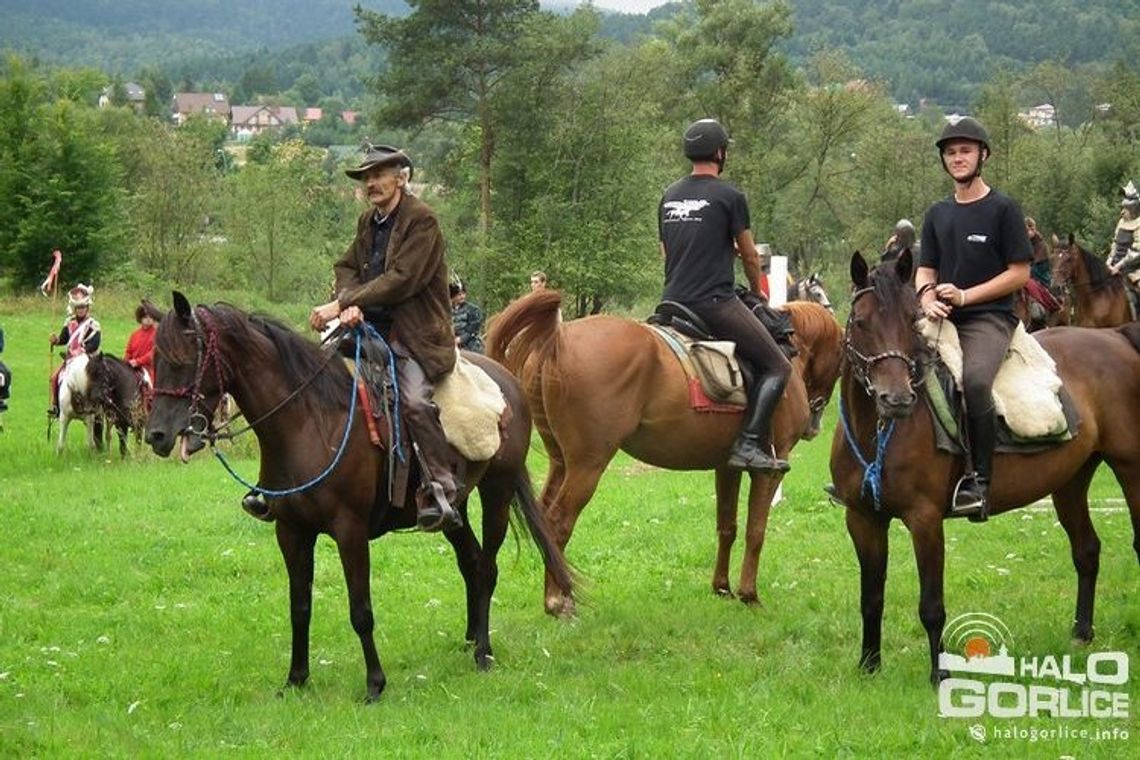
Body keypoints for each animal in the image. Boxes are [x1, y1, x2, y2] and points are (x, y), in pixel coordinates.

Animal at [147, 291, 574, 701]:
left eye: (184, 359)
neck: (310, 421)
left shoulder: (349, 530)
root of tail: (508, 380)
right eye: (155, 360)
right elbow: (299, 606)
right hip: (455, 507)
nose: (156, 435)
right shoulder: (291, 531)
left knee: (486, 568)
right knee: (470, 562)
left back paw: (483, 652)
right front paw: (296, 679)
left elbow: (361, 610)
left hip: (497, 490)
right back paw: (470, 639)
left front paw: (374, 684)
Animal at [485, 291, 843, 619]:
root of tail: (557, 337)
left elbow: (727, 526)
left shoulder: (727, 467)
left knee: (544, 519)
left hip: (561, 461)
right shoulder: (769, 468)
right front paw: (749, 595)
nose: (814, 424)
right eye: (841, 357)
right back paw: (558, 602)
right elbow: (756, 532)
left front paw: (722, 588)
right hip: (588, 464)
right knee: (559, 523)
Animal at [829, 252, 1140, 688]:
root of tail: (1117, 338)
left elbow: (931, 605)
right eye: (860, 322)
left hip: (1131, 468)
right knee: (1086, 550)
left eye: (912, 321)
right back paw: (1081, 634)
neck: (876, 433)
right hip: (1070, 480)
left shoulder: (925, 520)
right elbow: (871, 597)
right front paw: (869, 666)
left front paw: (939, 674)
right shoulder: (862, 519)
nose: (897, 399)